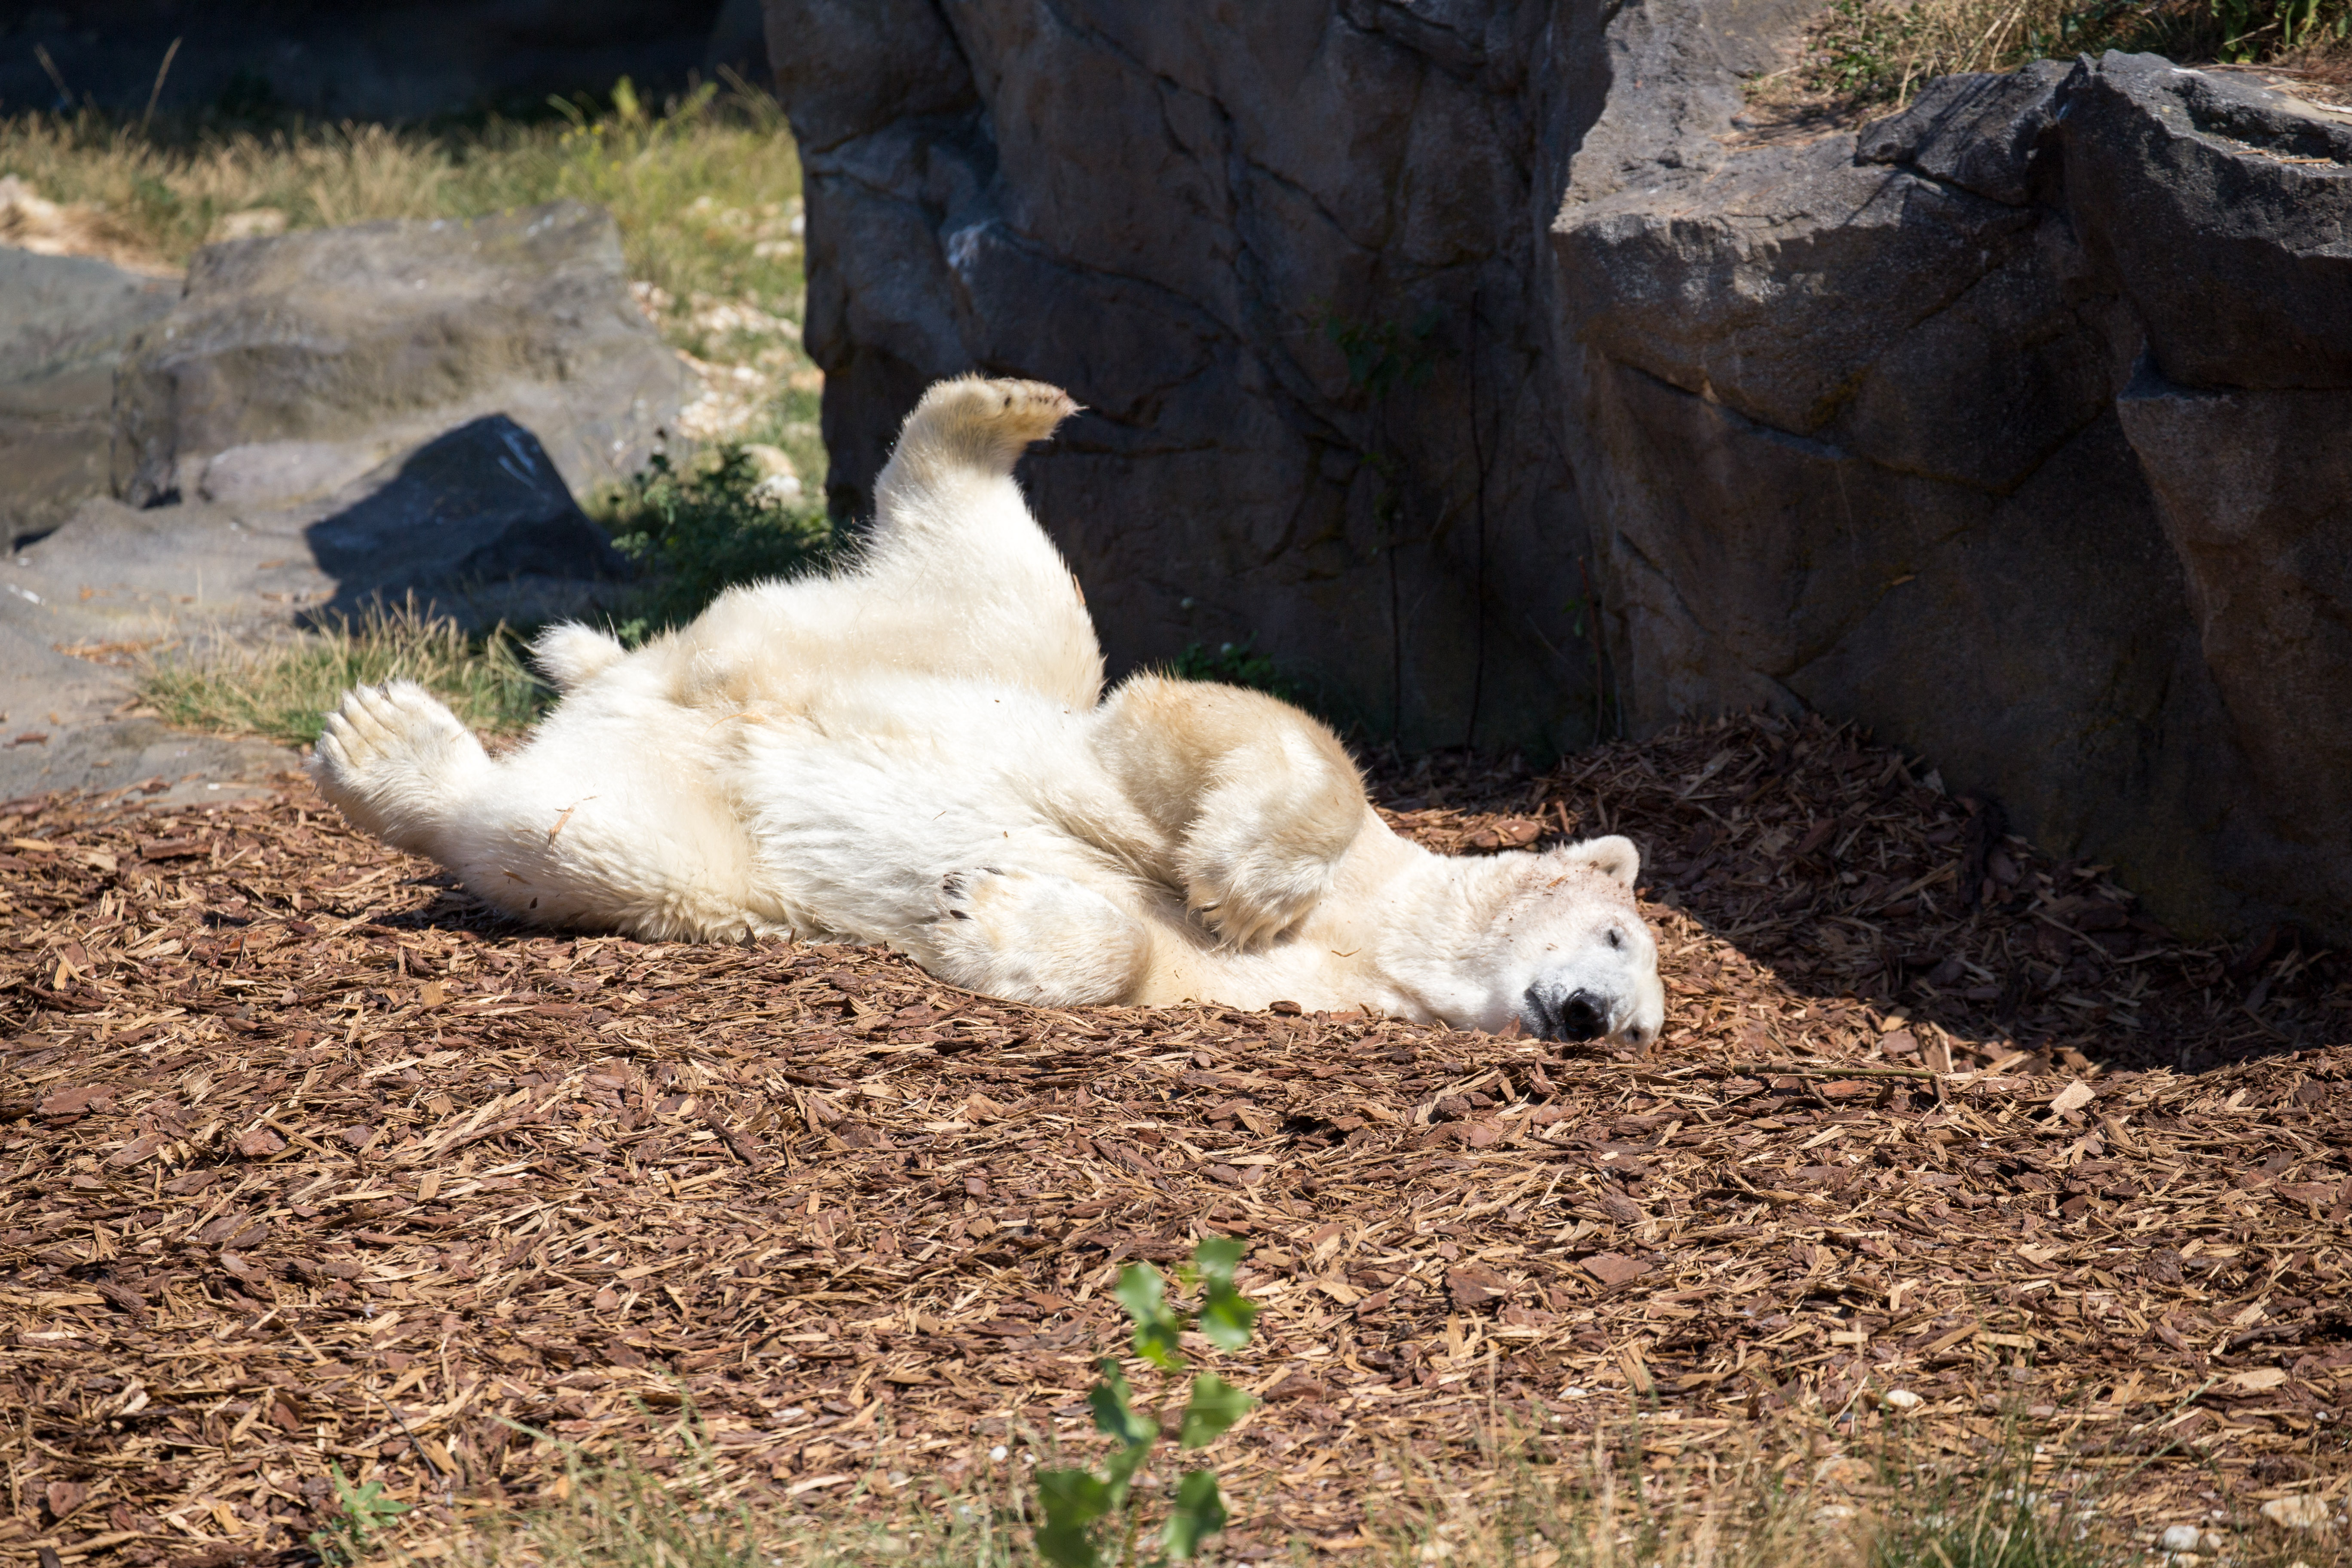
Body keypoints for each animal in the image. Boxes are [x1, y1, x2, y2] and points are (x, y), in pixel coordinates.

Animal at [310, 376, 1666, 1044]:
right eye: (1614, 937)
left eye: (1645, 1030)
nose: (1594, 1020)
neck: (1383, 935)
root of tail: (649, 683)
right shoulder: (1273, 812)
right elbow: (1231, 731)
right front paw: (1240, 878)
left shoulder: (1304, 999)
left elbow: (1155, 966)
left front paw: (982, 906)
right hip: (961, 655)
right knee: (1016, 588)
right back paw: (1003, 409)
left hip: (700, 838)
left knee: (576, 840)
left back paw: (397, 750)